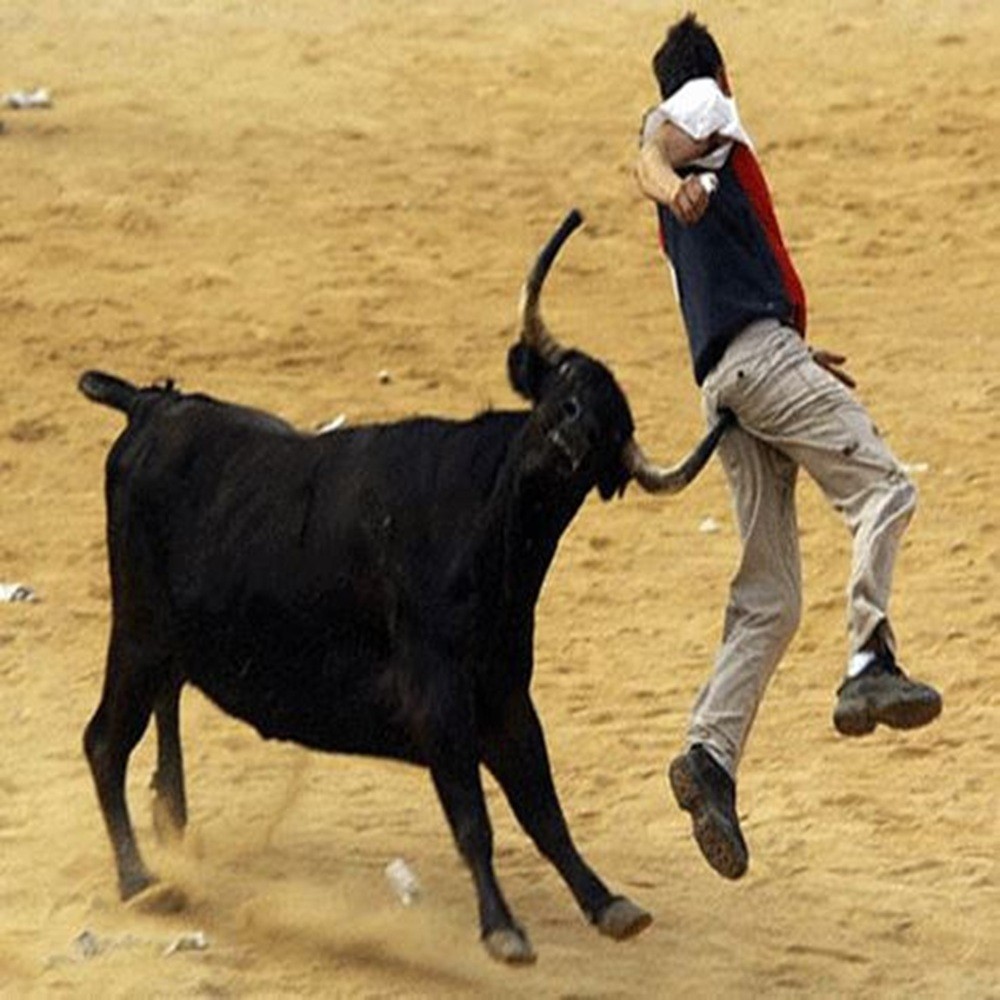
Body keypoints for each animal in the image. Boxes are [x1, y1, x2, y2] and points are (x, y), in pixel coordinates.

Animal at [80, 209, 733, 965]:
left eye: (611, 429)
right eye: (562, 391)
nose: (568, 440)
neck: (492, 538)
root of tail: (150, 408)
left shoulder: (504, 697)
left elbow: (544, 810)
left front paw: (608, 904)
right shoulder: (438, 698)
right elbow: (475, 818)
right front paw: (503, 929)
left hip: (165, 637)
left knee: (159, 705)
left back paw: (172, 821)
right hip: (138, 630)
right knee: (104, 740)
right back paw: (141, 880)